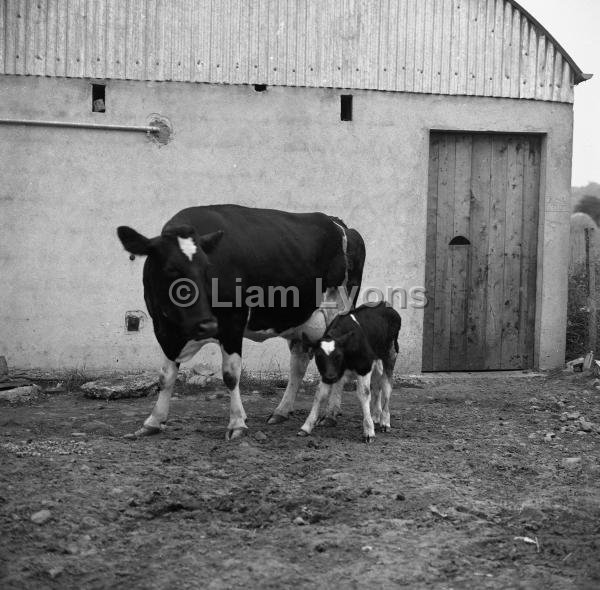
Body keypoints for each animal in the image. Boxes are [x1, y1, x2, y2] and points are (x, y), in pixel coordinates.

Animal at [115, 206, 364, 442]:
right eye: (171, 269)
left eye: (207, 268)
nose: (207, 326)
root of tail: (338, 223)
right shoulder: (164, 329)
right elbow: (165, 376)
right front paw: (154, 421)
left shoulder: (232, 323)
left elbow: (231, 375)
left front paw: (236, 423)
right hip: (301, 320)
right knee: (298, 363)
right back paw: (281, 411)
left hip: (338, 312)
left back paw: (330, 414)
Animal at [298, 302, 400, 442]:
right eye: (318, 356)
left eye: (338, 356)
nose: (330, 377)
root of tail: (385, 305)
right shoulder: (328, 373)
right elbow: (320, 395)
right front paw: (307, 426)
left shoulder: (364, 367)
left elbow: (364, 394)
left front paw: (369, 431)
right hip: (376, 360)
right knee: (377, 383)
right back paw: (376, 416)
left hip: (390, 355)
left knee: (386, 386)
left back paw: (384, 421)